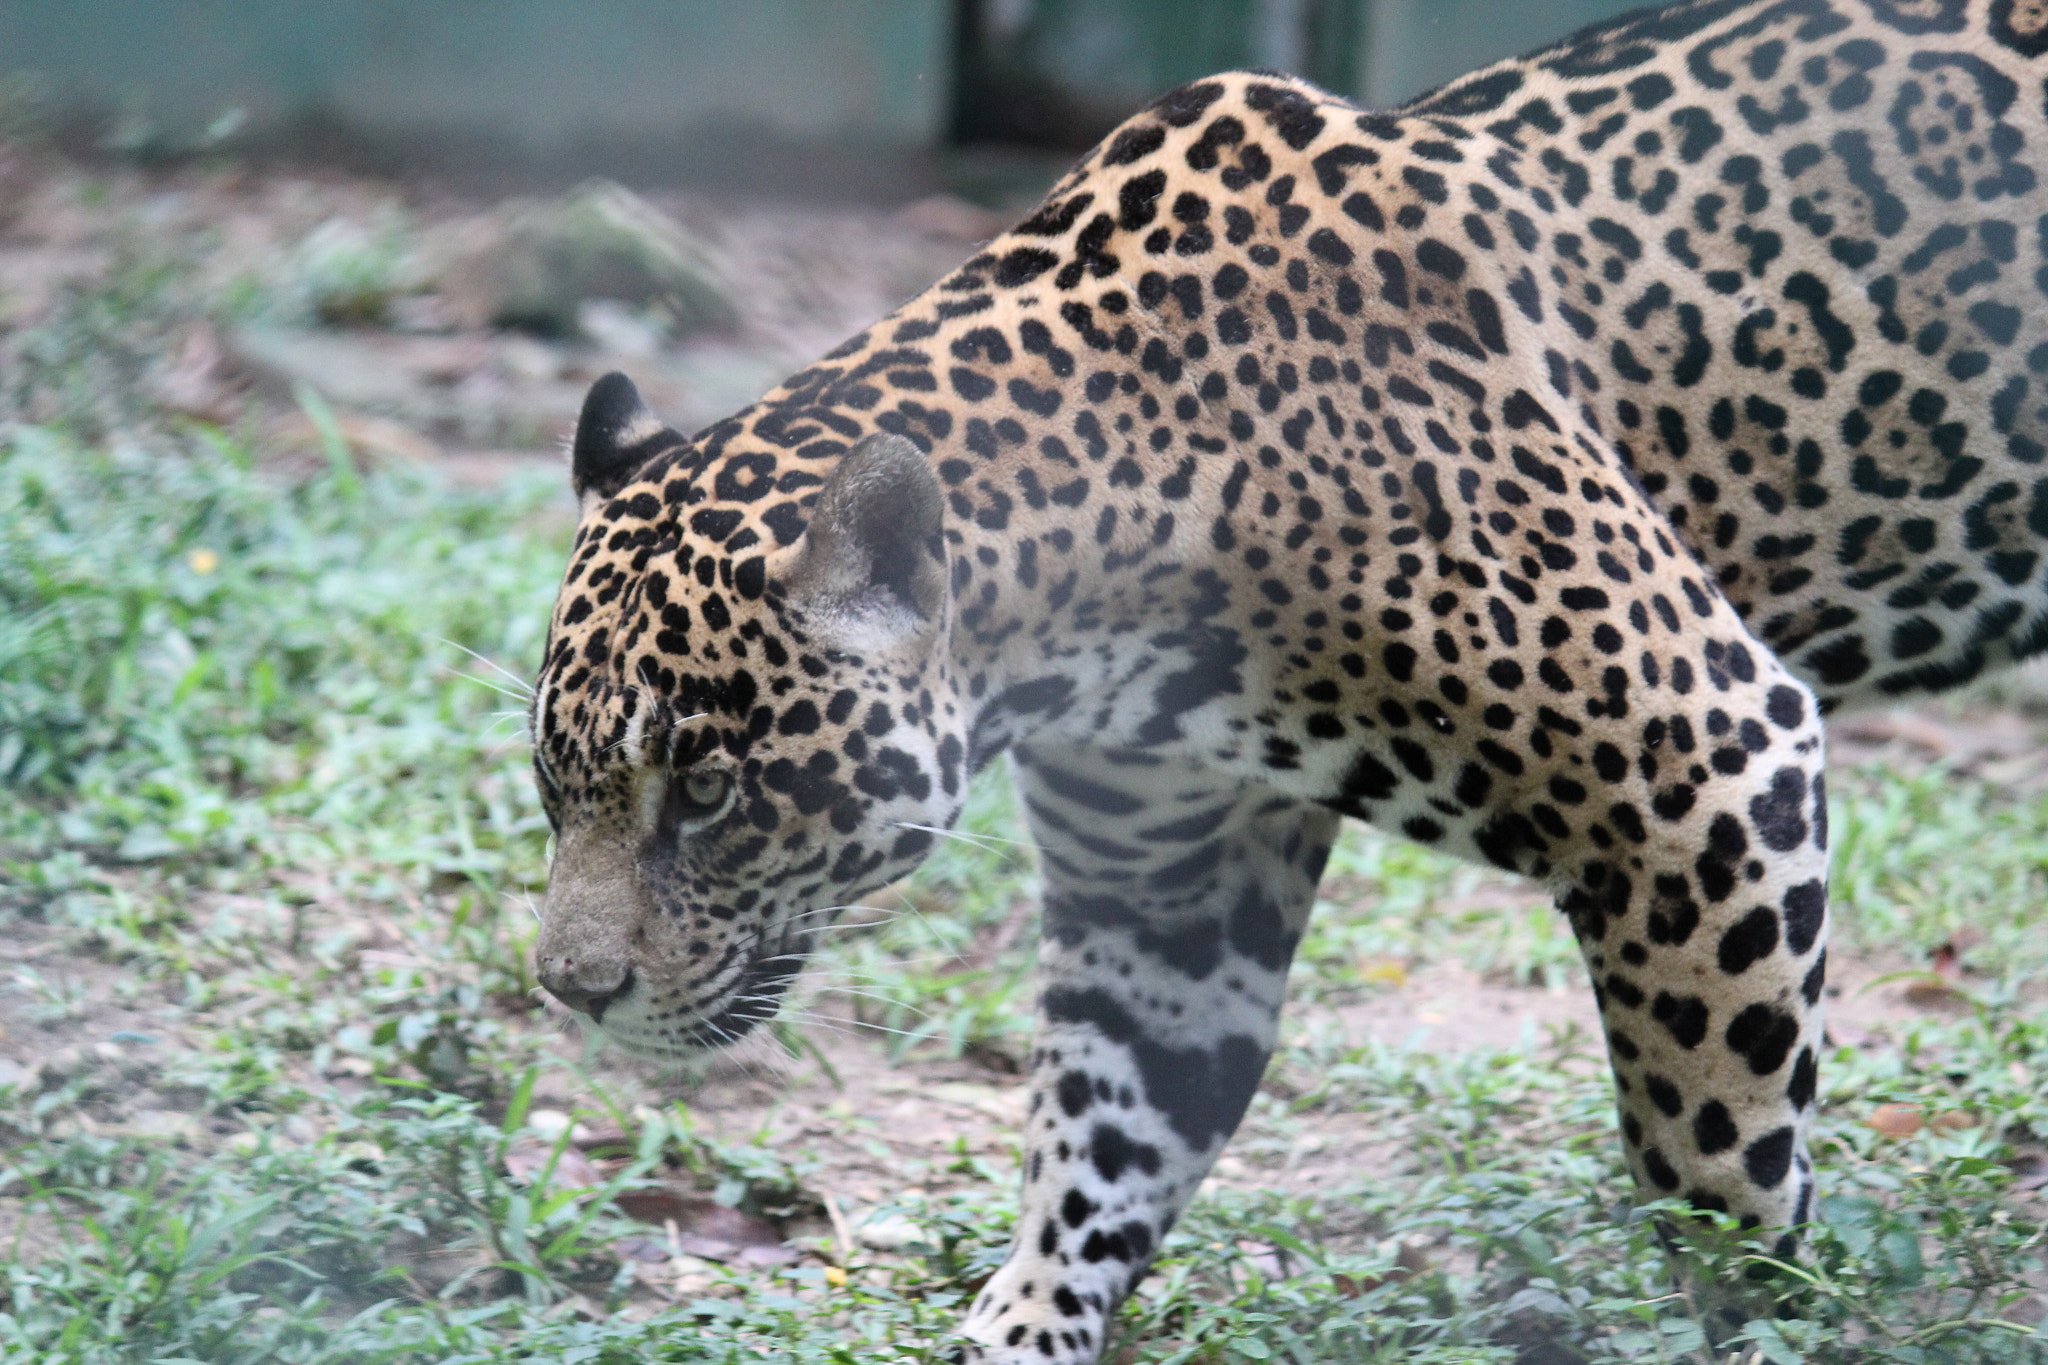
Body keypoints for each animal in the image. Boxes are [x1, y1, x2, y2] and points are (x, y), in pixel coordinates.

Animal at [524, 1, 2048, 1359]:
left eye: (708, 792)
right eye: (553, 787)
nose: (570, 993)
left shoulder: (1699, 763)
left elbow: (1714, 1144)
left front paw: (1762, 1322)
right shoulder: (1164, 885)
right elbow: (1109, 1130)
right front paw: (1027, 1322)